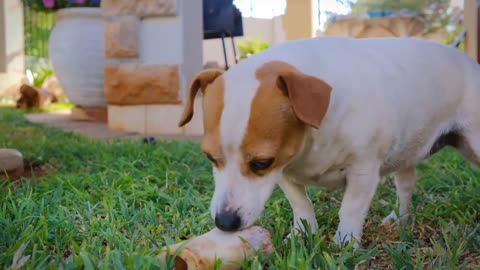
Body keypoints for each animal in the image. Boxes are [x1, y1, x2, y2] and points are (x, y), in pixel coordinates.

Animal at [177, 36, 480, 247]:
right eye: (210, 158)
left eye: (261, 163)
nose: (225, 222)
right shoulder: (286, 169)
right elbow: (301, 204)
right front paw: (302, 234)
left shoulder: (363, 172)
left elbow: (350, 209)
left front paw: (345, 242)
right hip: (406, 151)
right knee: (405, 188)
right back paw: (399, 220)